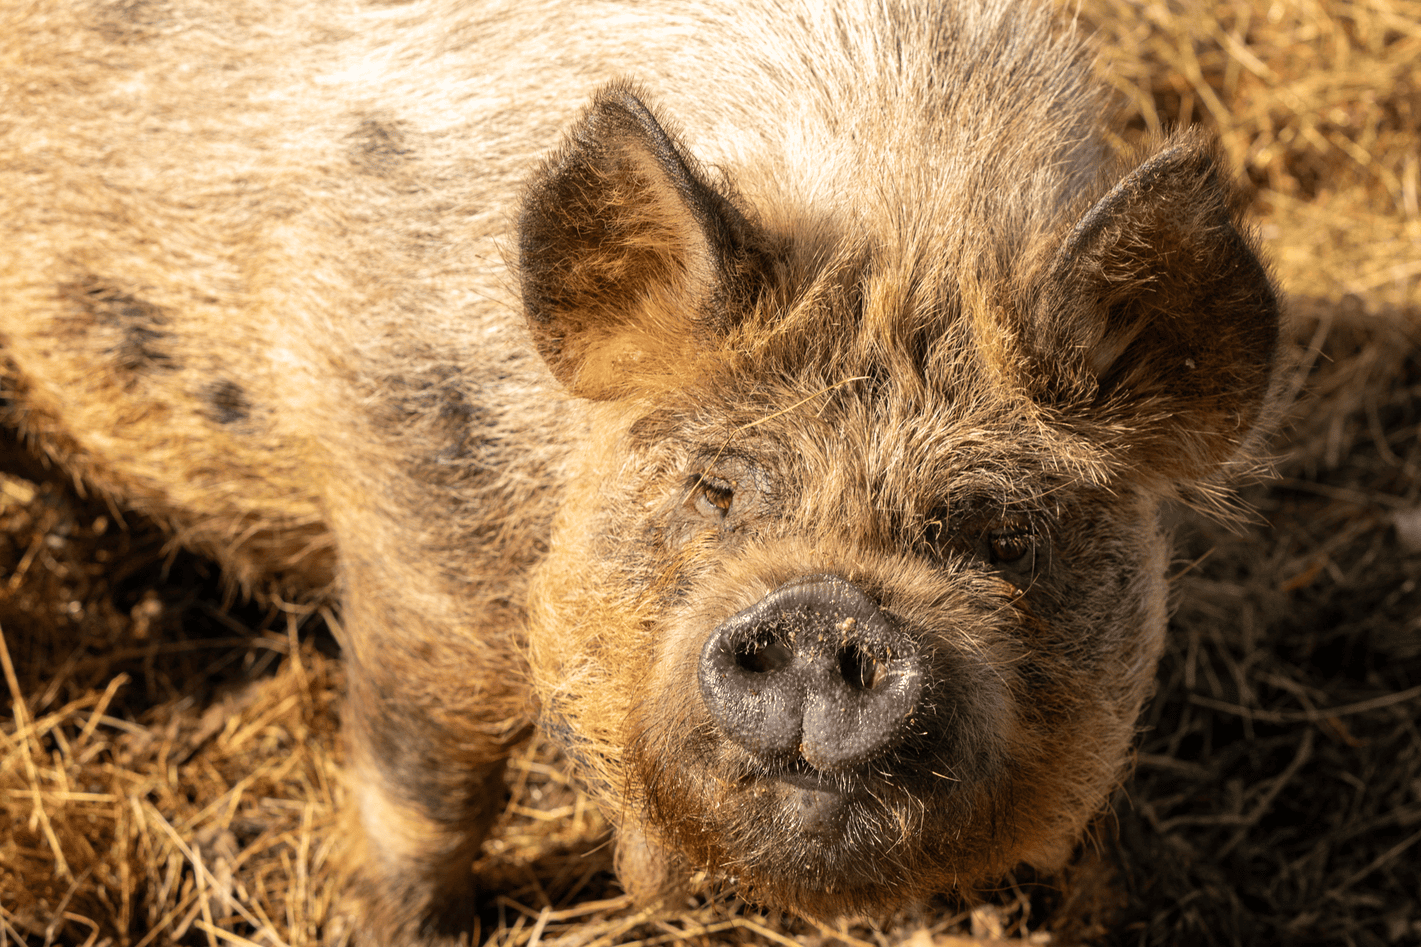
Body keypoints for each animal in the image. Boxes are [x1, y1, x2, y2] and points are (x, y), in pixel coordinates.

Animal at [0, 0, 1281, 941]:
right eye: (714, 487)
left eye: (999, 532)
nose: (823, 610)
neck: (898, 220)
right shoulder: (412, 494)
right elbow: (427, 776)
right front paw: (396, 925)